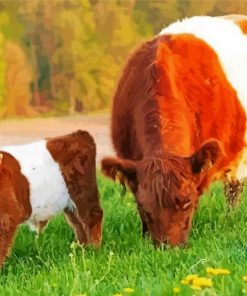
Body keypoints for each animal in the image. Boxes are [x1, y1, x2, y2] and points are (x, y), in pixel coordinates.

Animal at [0, 130, 103, 266]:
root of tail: (78, 134)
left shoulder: (6, 218)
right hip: (70, 204)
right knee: (78, 224)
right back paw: (82, 251)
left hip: (84, 194)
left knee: (92, 217)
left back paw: (94, 251)